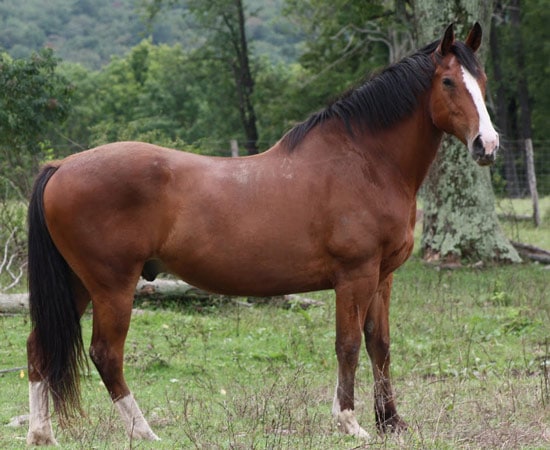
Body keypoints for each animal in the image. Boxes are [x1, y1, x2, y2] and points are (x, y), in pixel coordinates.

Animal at [25, 22, 500, 444]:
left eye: (482, 81)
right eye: (447, 82)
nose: (487, 145)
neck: (365, 162)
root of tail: (61, 167)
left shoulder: (382, 277)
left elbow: (378, 344)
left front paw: (392, 422)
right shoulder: (355, 276)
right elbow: (347, 344)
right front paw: (350, 422)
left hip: (77, 284)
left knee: (39, 349)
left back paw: (41, 433)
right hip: (112, 287)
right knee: (106, 355)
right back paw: (144, 431)